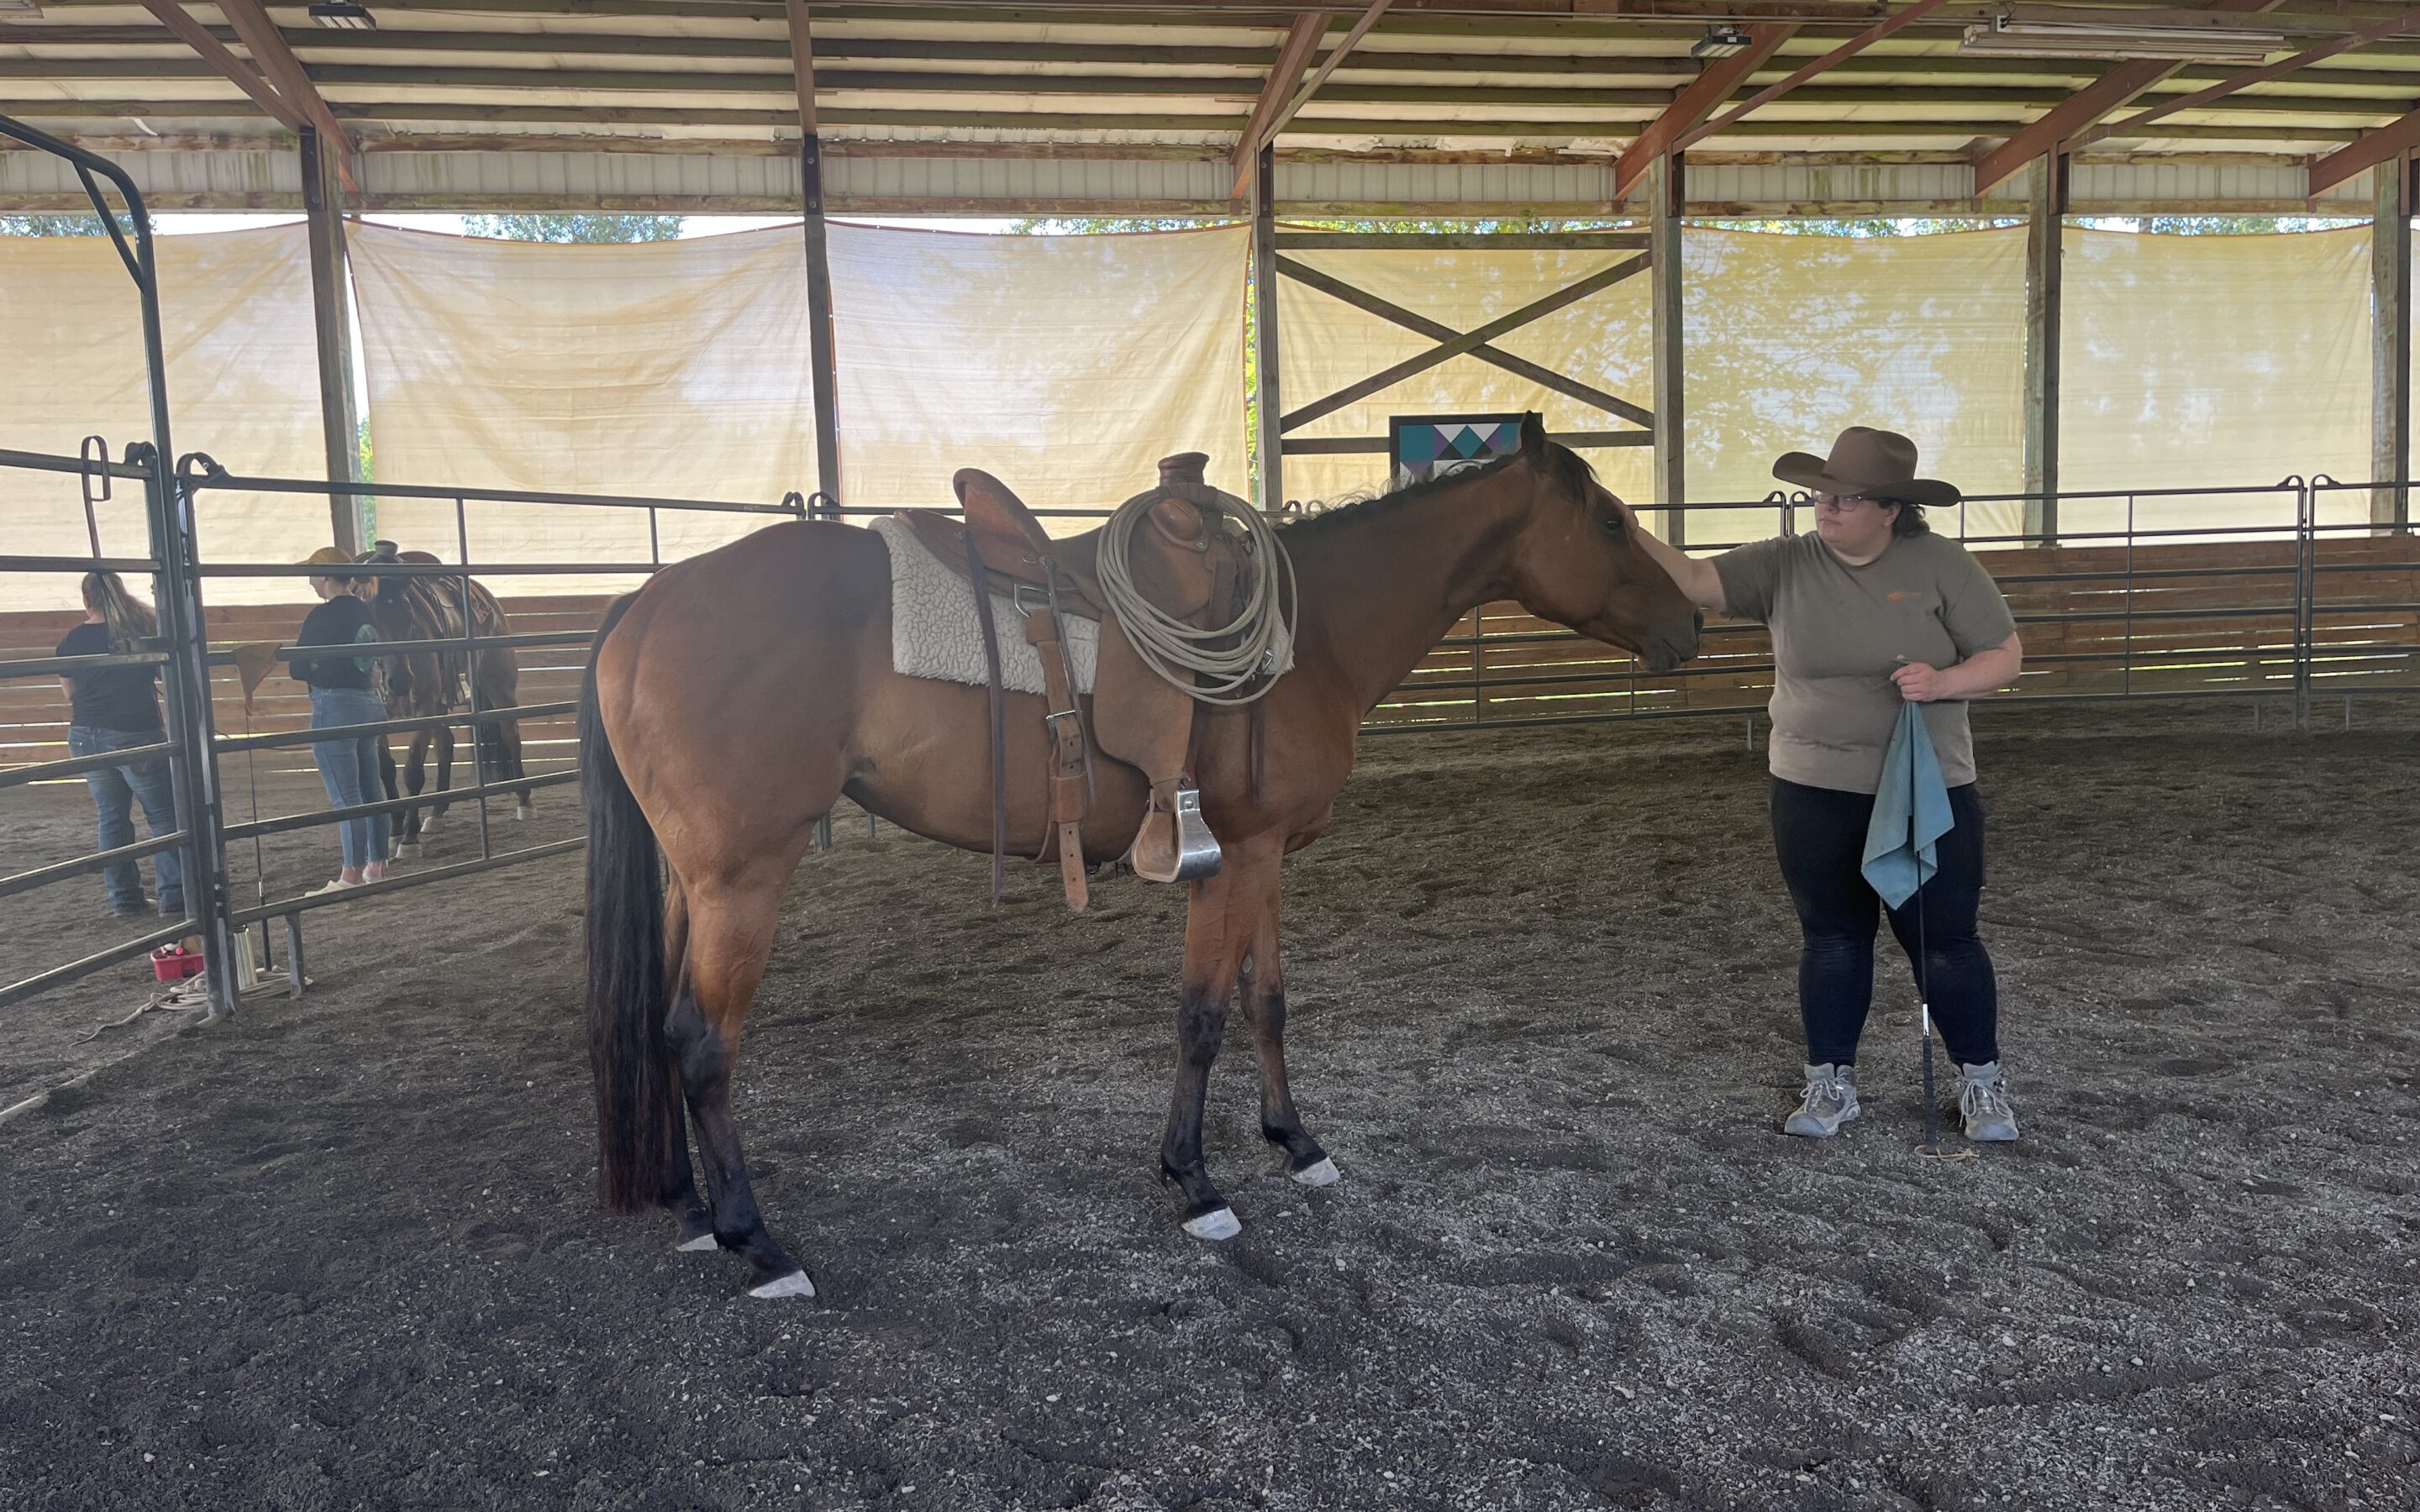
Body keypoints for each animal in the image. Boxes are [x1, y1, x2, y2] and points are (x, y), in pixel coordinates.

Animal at [358, 542, 529, 856]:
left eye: (409, 616)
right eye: (370, 620)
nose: (401, 681)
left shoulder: (424, 707)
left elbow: (413, 771)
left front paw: (409, 838)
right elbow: (386, 770)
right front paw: (395, 829)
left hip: (499, 686)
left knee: (511, 735)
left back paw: (525, 802)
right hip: (441, 703)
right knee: (445, 744)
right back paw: (436, 813)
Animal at [581, 416, 1703, 1296]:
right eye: (1611, 521)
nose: (1693, 623)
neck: (1309, 635)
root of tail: (644, 603)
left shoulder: (1268, 857)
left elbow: (1266, 1000)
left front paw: (1297, 1144)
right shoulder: (1232, 857)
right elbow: (1202, 1016)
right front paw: (1195, 1183)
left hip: (693, 884)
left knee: (662, 1027)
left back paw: (689, 1206)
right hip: (742, 883)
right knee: (702, 1043)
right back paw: (758, 1243)